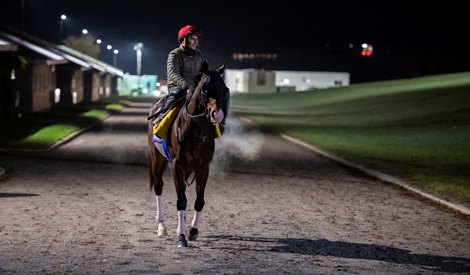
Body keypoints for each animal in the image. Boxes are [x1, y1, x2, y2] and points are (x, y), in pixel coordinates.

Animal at [147, 59, 228, 248]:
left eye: (224, 88)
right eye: (205, 88)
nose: (218, 115)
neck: (196, 131)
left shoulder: (203, 167)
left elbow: (198, 201)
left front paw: (191, 231)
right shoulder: (177, 164)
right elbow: (181, 200)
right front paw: (182, 238)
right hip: (157, 159)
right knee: (159, 187)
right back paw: (162, 226)